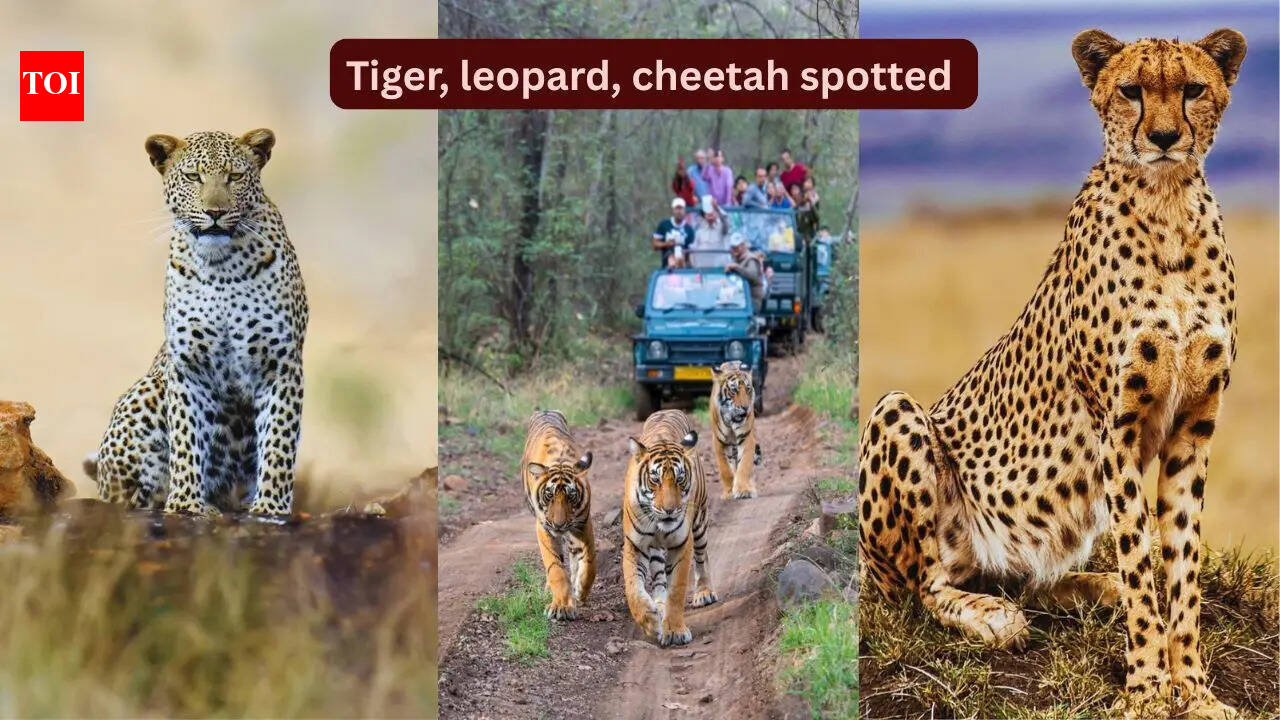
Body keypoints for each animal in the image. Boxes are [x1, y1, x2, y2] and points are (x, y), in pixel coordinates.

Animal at [88, 129, 308, 517]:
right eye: (193, 177)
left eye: (234, 176)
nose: (215, 213)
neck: (221, 266)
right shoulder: (187, 366)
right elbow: (186, 435)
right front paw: (186, 503)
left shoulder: (280, 364)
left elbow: (279, 440)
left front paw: (270, 506)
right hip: (146, 390)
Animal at [521, 410, 596, 620]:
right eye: (549, 495)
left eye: (571, 496)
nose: (559, 524)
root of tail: (544, 410)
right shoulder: (544, 527)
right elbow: (555, 567)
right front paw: (561, 606)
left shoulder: (582, 525)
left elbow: (590, 563)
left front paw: (580, 591)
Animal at [622, 410, 717, 646]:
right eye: (655, 480)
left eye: (680, 479)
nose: (669, 510)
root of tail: (668, 409)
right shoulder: (635, 545)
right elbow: (633, 588)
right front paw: (649, 619)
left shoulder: (681, 544)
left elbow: (676, 591)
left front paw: (674, 631)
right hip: (655, 549)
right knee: (658, 577)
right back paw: (658, 604)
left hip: (700, 522)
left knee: (702, 557)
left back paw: (704, 592)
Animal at [709, 361, 762, 499]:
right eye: (734, 390)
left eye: (748, 389)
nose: (746, 408)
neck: (731, 420)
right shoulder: (719, 442)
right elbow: (725, 469)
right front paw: (728, 492)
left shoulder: (746, 438)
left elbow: (744, 466)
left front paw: (743, 490)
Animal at [857, 28, 1247, 719]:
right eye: (1132, 90)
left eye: (1194, 89)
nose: (1165, 137)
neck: (1168, 204)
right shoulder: (1117, 429)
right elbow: (1144, 563)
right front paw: (1148, 689)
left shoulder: (1193, 430)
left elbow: (1180, 564)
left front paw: (1194, 689)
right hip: (897, 415)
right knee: (925, 587)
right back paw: (989, 615)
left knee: (1034, 580)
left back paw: (1094, 587)